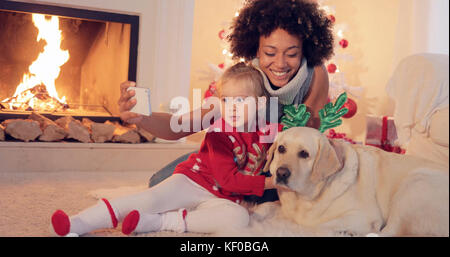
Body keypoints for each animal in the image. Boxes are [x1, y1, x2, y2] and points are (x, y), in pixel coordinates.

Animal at [262, 126, 448, 236]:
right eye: (281, 148)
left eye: (304, 154)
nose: (281, 173)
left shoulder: (363, 216)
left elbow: (319, 226)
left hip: (414, 183)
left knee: (388, 231)